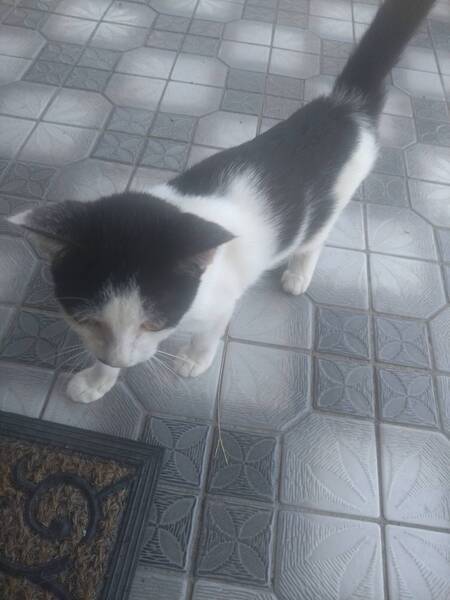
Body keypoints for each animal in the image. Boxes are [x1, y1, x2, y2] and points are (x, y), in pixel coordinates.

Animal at [8, 0, 435, 403]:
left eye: (152, 323)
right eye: (88, 321)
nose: (119, 359)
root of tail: (344, 107)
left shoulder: (221, 301)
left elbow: (209, 332)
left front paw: (193, 359)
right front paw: (98, 379)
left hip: (336, 198)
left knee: (316, 235)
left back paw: (298, 273)